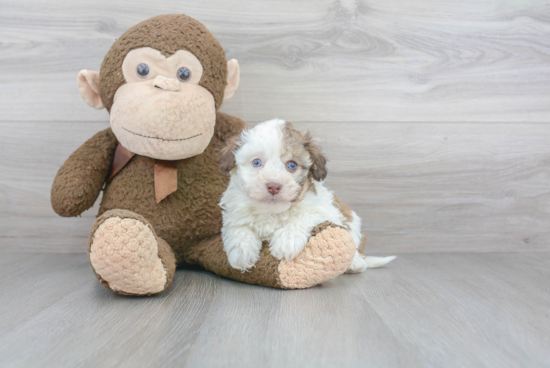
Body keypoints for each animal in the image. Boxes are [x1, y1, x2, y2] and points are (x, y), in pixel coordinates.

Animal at [220, 119, 396, 272]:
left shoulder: (324, 209)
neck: (273, 212)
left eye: (292, 165)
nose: (274, 186)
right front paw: (242, 252)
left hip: (353, 224)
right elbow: (238, 228)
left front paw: (287, 240)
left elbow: (302, 216)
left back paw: (355, 263)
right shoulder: (234, 212)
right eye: (256, 162)